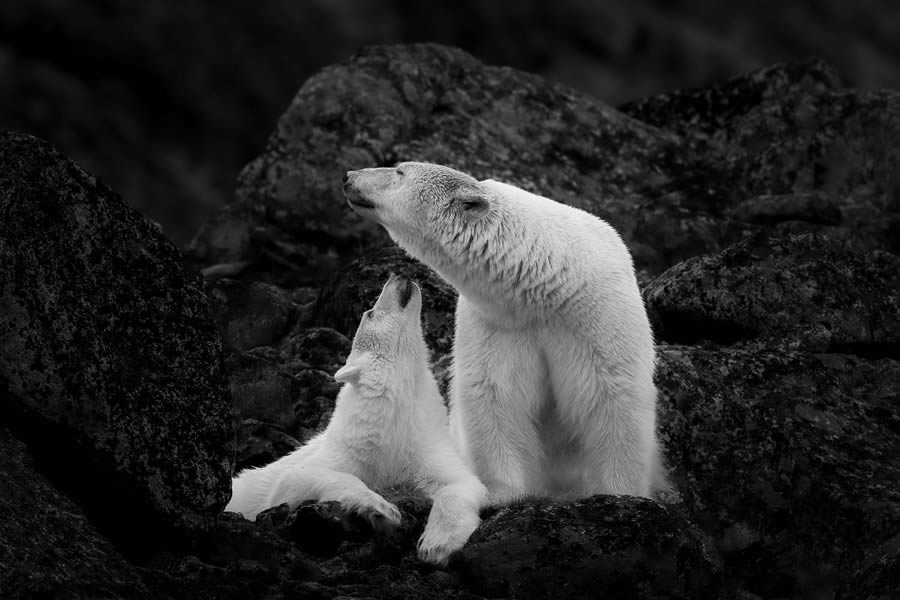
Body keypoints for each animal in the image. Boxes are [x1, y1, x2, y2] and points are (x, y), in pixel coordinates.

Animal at [342, 163, 664, 502]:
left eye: (399, 171)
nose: (348, 176)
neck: (547, 282)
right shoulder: (498, 323)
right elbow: (496, 393)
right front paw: (502, 494)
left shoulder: (595, 313)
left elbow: (611, 393)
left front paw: (621, 492)